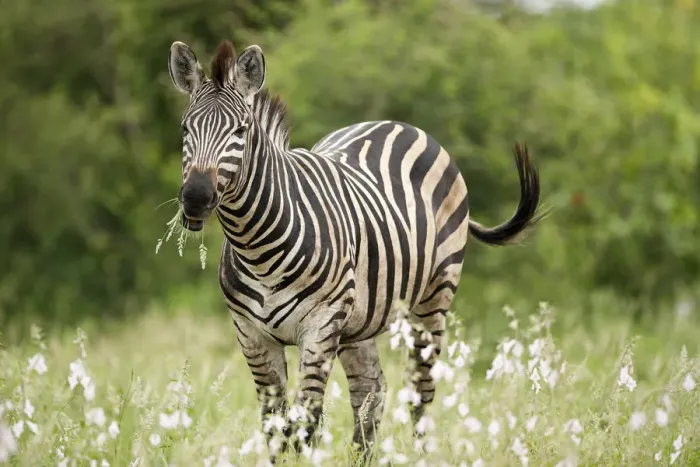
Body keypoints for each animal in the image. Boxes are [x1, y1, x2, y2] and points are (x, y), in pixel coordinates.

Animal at [167, 39, 543, 461]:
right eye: (185, 128)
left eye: (241, 129)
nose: (196, 198)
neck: (256, 247)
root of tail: (398, 123)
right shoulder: (251, 334)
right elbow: (274, 426)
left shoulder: (320, 327)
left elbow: (304, 423)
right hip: (359, 319)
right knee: (371, 390)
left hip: (432, 298)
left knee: (420, 393)